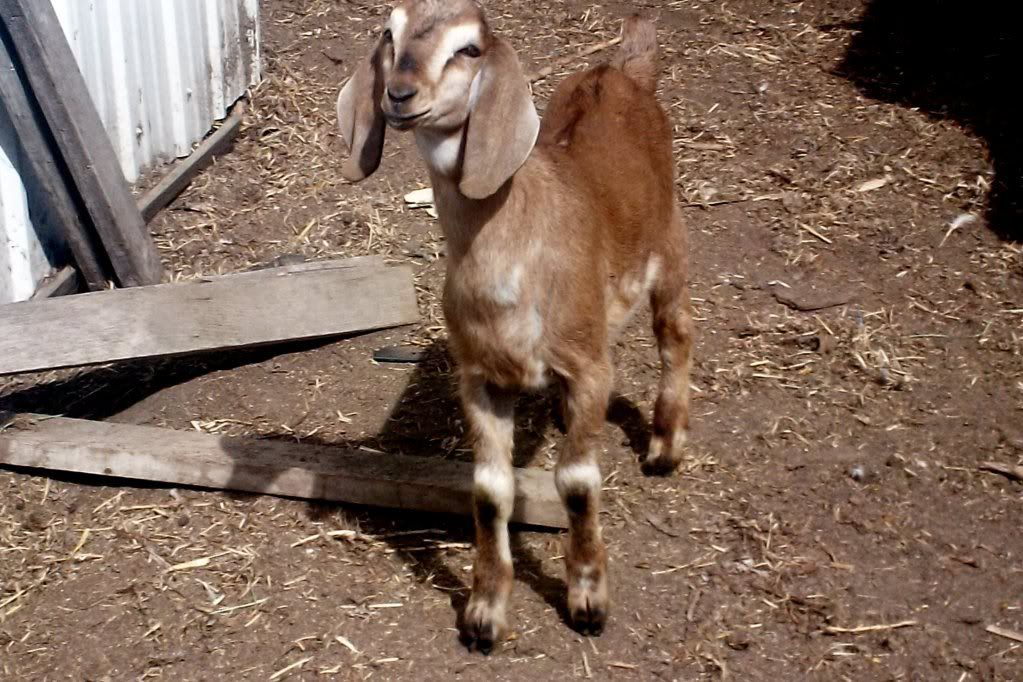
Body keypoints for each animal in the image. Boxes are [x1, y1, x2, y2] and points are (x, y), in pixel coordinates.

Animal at [337, 0, 693, 652]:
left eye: (469, 49)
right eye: (389, 34)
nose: (400, 94)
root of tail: (622, 68)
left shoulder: (587, 363)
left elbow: (577, 483)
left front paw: (588, 600)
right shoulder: (479, 377)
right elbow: (488, 490)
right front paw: (484, 613)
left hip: (670, 241)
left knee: (675, 333)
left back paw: (663, 446)